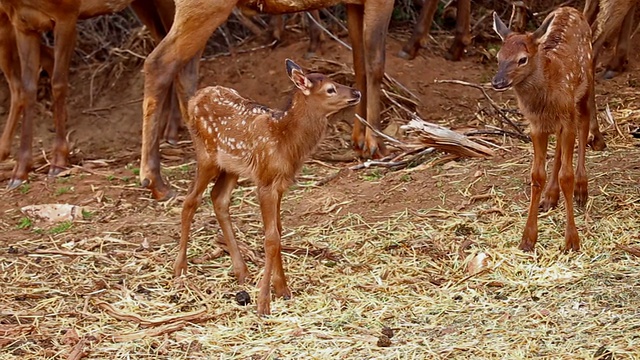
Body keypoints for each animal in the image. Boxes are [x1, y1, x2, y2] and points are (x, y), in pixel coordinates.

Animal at [176, 59, 360, 316]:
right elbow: (270, 237)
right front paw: (264, 302)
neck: (285, 141)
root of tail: (194, 99)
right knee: (190, 200)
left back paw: (242, 271)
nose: (356, 92)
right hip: (206, 155)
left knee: (218, 198)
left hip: (232, 167)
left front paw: (282, 289)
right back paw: (180, 269)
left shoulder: (281, 184)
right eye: (330, 89)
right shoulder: (264, 181)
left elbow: (278, 231)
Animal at [492, 7, 604, 252]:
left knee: (584, 124)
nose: (497, 82)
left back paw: (582, 188)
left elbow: (567, 176)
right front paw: (527, 239)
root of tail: (571, 9)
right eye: (498, 58)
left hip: (586, 85)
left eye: (522, 59)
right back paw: (550, 196)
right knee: (560, 149)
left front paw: (572, 240)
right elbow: (536, 175)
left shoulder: (567, 117)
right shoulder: (536, 126)